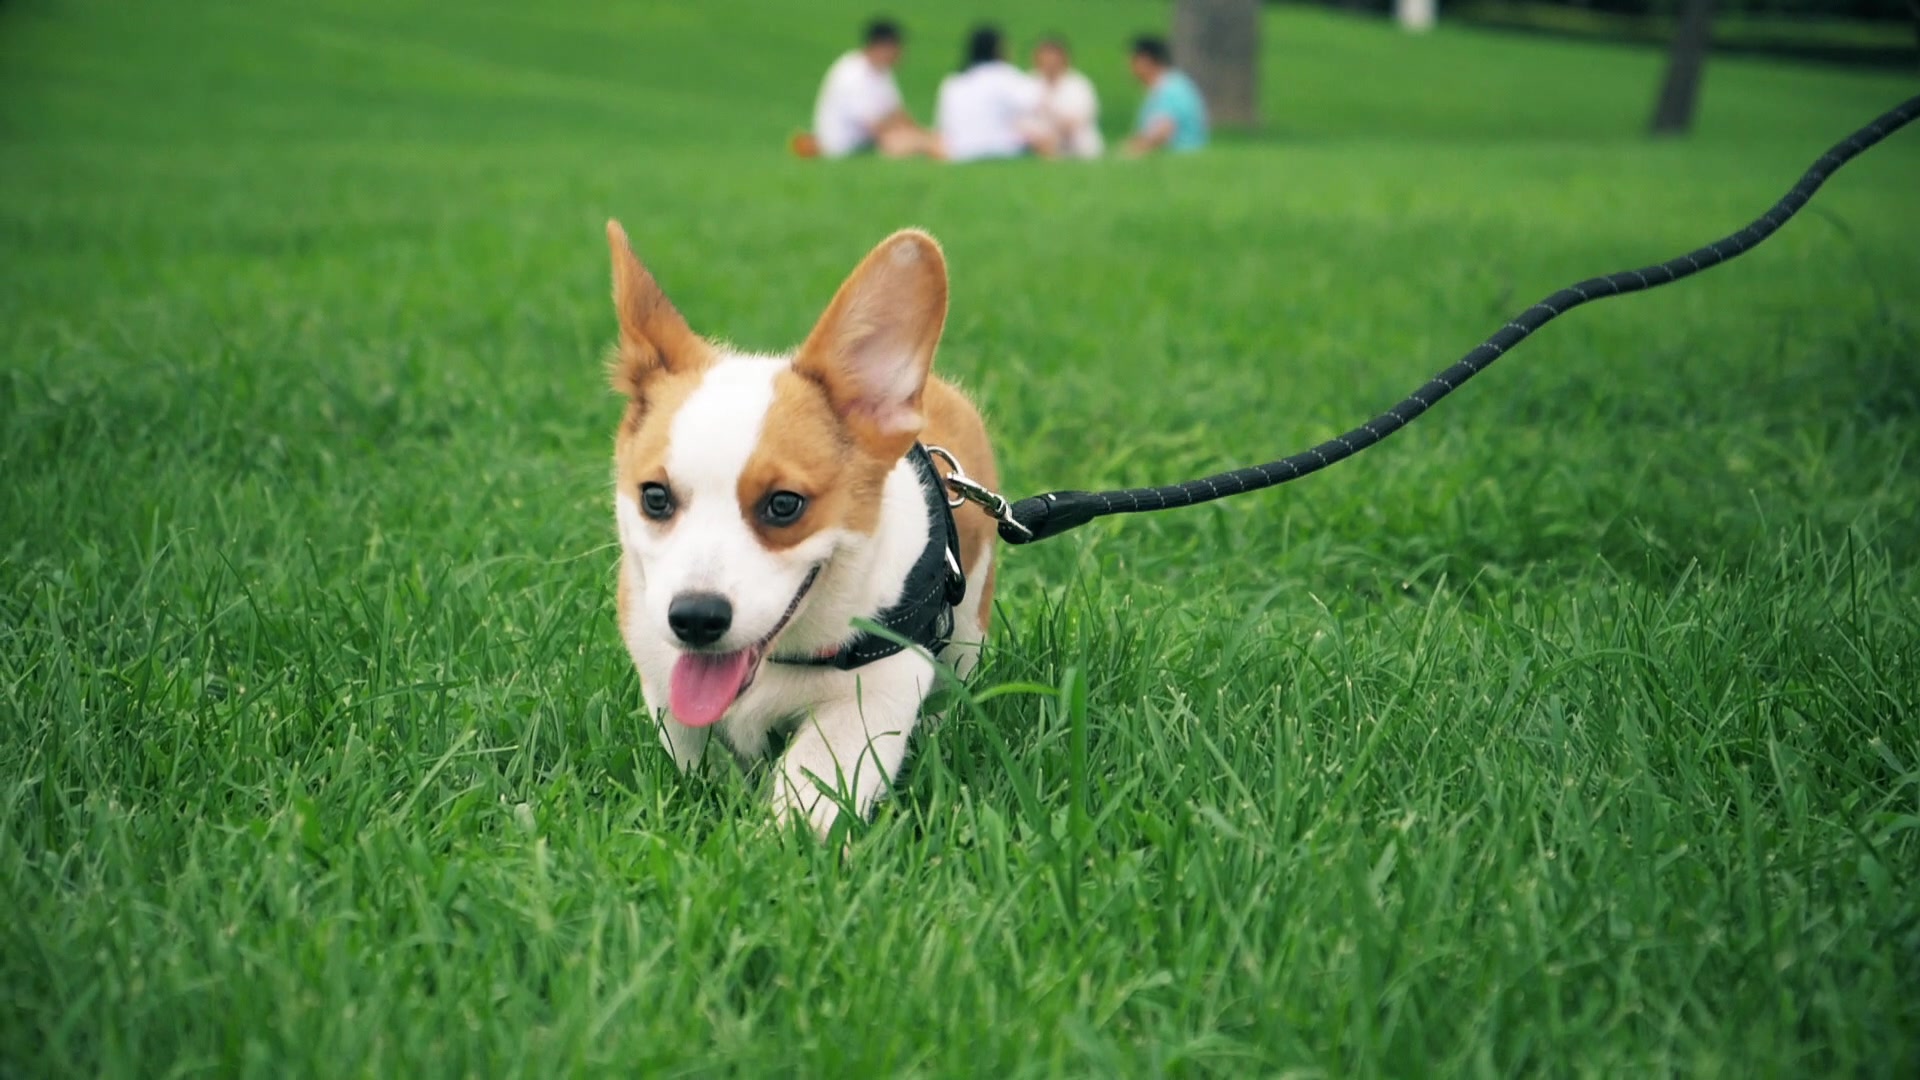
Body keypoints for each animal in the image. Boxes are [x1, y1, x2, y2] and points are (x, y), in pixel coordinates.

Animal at [610, 222, 1006, 837]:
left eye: (784, 505)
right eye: (655, 497)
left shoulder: (875, 692)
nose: (695, 619)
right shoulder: (663, 681)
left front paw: (780, 841)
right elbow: (694, 749)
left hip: (968, 621)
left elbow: (815, 779)